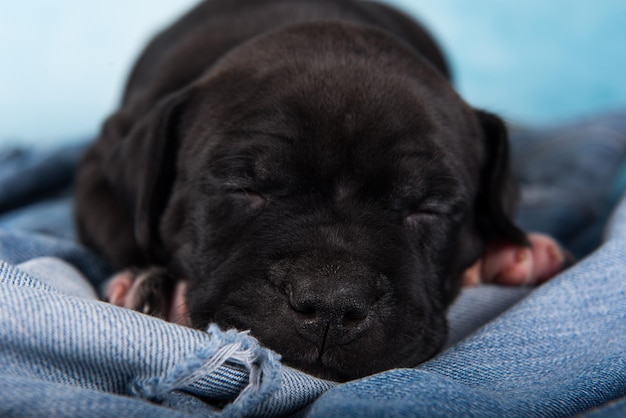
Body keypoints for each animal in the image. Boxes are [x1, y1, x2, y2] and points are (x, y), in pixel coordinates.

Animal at [73, 0, 564, 382]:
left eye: (429, 207)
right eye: (243, 186)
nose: (332, 305)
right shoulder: (101, 165)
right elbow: (123, 229)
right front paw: (148, 284)